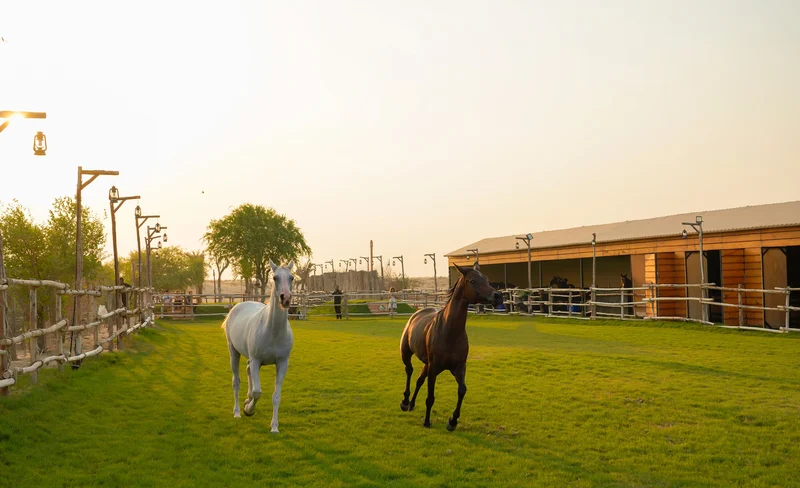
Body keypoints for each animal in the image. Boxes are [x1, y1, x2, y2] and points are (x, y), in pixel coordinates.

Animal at [222, 260, 295, 433]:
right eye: (275, 277)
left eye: (292, 278)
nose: (285, 298)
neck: (273, 332)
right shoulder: (256, 360)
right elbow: (257, 392)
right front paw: (249, 410)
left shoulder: (282, 363)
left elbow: (276, 396)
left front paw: (274, 427)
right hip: (233, 352)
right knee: (236, 382)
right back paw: (237, 412)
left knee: (248, 371)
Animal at [399, 262, 503, 430]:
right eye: (472, 281)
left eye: (486, 279)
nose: (498, 296)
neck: (449, 331)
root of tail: (416, 313)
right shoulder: (434, 368)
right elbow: (430, 396)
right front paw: (427, 422)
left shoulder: (459, 367)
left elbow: (462, 390)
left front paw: (452, 421)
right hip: (406, 353)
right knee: (409, 371)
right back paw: (405, 402)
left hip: (426, 364)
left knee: (419, 380)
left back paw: (412, 404)